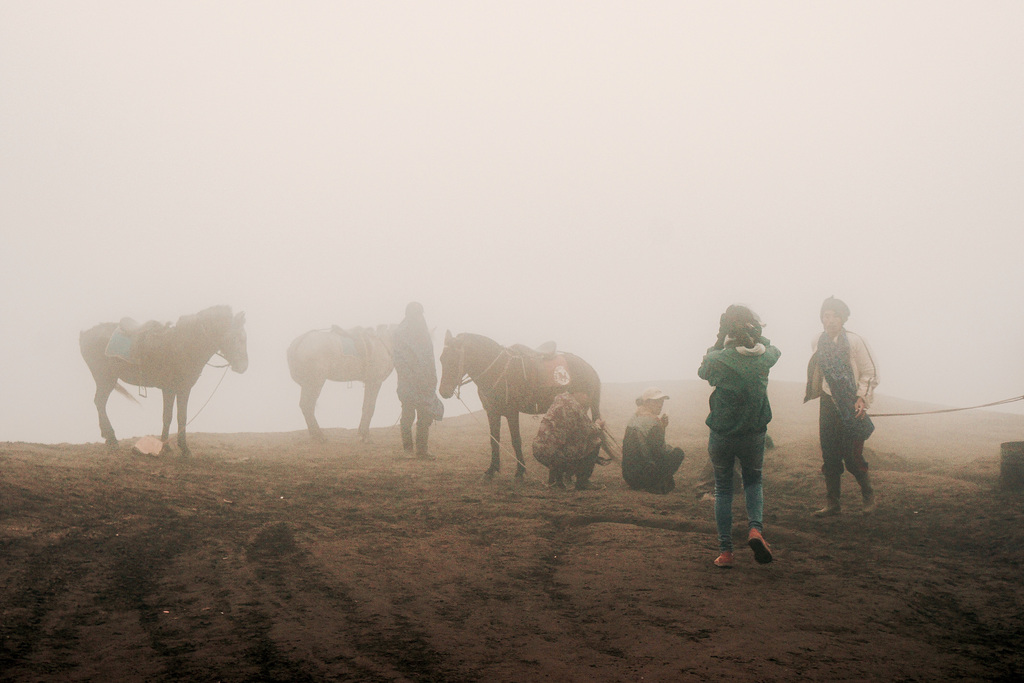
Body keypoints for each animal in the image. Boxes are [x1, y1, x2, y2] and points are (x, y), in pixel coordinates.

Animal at [79, 305, 247, 456]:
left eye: (245, 338)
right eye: (235, 338)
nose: (244, 366)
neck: (183, 344)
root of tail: (85, 333)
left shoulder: (183, 388)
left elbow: (179, 417)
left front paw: (175, 447)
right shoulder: (170, 389)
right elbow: (170, 417)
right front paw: (174, 447)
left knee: (100, 403)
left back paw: (107, 437)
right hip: (105, 379)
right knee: (100, 403)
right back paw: (112, 439)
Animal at [438, 331, 598, 481]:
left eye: (454, 360)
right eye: (441, 359)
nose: (443, 391)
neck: (498, 369)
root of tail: (589, 368)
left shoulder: (511, 412)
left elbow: (516, 440)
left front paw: (520, 472)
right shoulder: (492, 412)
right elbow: (494, 440)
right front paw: (491, 470)